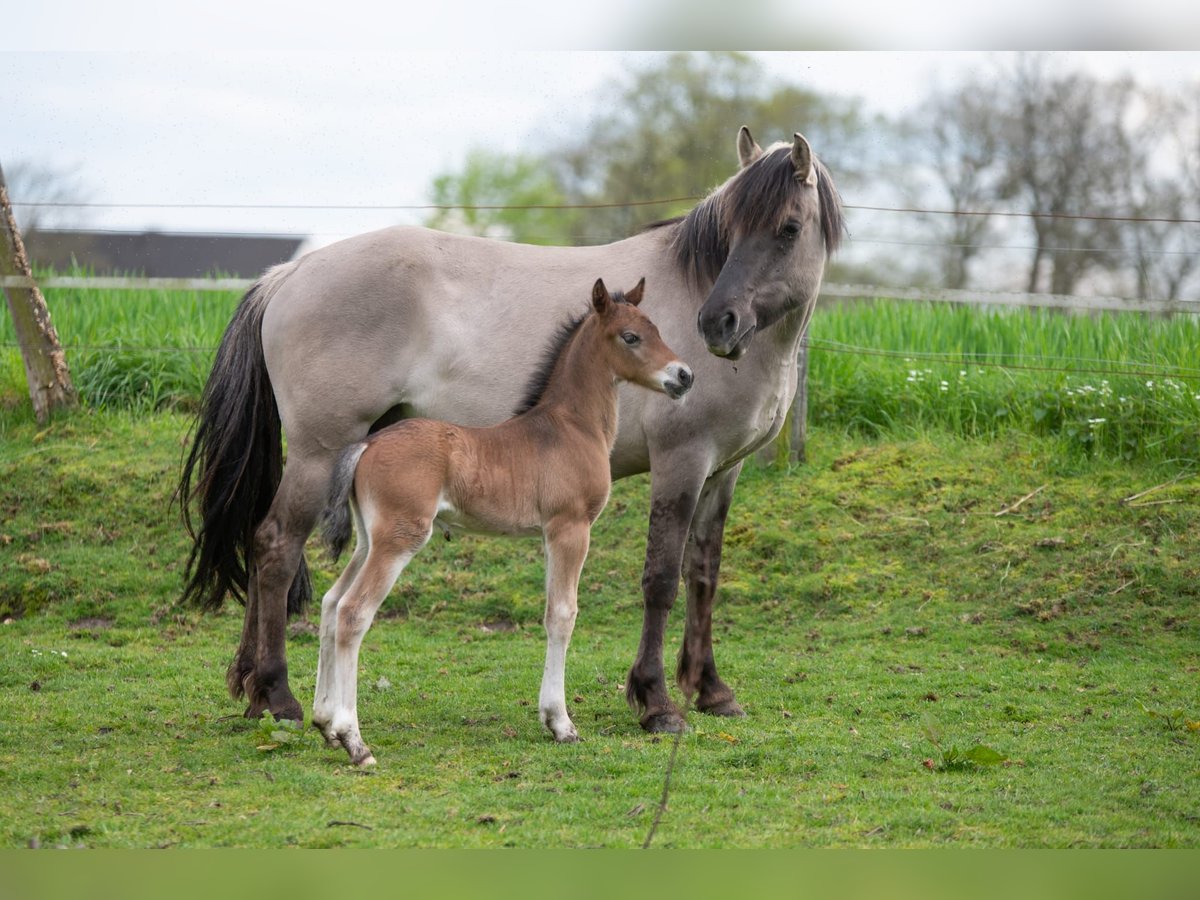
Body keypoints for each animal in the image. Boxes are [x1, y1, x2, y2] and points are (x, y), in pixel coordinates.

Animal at [314, 278, 696, 763]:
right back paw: (354, 740)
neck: (572, 426)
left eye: (657, 328)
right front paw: (561, 724)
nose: (684, 376)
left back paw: (324, 723)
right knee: (353, 611)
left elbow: (553, 611)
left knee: (330, 603)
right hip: (400, 538)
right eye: (630, 337)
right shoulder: (570, 528)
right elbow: (563, 615)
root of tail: (368, 444)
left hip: (369, 540)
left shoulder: (550, 535)